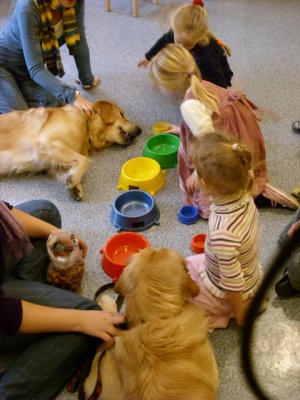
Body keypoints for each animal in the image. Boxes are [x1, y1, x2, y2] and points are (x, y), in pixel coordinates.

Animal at [0, 100, 142, 200]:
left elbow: (66, 169)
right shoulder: (46, 143)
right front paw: (73, 179)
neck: (86, 127)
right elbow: (84, 160)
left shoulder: (50, 163)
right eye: (122, 114)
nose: (140, 130)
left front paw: (74, 186)